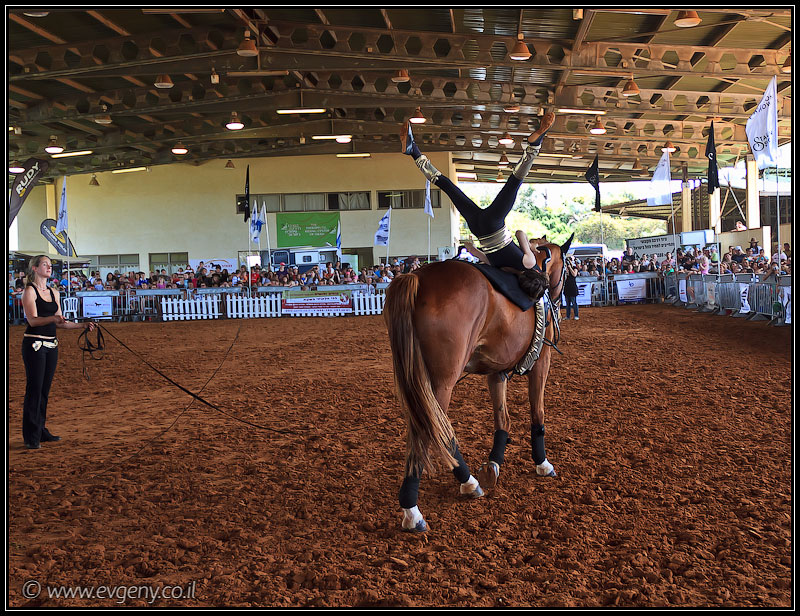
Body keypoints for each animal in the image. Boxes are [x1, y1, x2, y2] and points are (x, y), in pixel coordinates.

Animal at [383, 234, 573, 532]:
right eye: (567, 267)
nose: (560, 297)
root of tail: (417, 277)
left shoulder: (497, 371)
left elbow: (502, 419)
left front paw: (494, 463)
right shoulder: (543, 360)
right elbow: (537, 412)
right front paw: (542, 463)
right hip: (440, 383)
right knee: (432, 430)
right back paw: (430, 502)